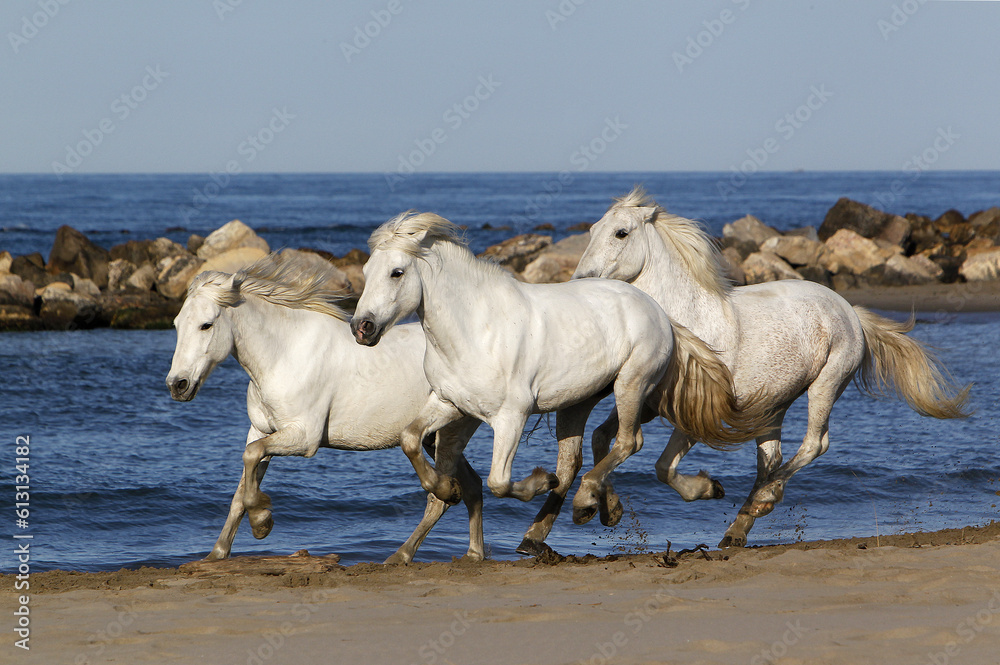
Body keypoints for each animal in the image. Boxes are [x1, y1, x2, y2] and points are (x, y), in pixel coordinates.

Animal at [165, 253, 484, 560]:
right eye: (176, 325)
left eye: (206, 325)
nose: (177, 385)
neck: (284, 354)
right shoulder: (260, 430)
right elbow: (241, 488)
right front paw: (217, 553)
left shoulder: (304, 436)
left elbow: (251, 457)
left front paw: (262, 523)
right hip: (431, 437)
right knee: (472, 485)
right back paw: (473, 553)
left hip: (450, 429)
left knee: (440, 498)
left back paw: (403, 553)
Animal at [348, 210, 768, 552]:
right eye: (366, 273)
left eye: (397, 273)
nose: (361, 327)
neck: (477, 329)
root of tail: (659, 310)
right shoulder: (449, 403)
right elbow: (409, 438)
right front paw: (445, 488)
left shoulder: (511, 416)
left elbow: (500, 481)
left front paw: (539, 480)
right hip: (583, 399)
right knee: (590, 450)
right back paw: (608, 507)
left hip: (632, 384)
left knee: (628, 442)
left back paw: (591, 501)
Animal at [576, 185, 972, 544]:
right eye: (592, 230)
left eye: (621, 232)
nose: (581, 281)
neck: (688, 323)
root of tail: (850, 311)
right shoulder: (648, 402)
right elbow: (602, 437)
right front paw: (605, 507)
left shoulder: (698, 413)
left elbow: (662, 467)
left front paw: (708, 488)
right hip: (773, 403)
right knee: (770, 460)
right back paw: (738, 527)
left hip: (826, 384)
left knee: (814, 444)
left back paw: (761, 501)